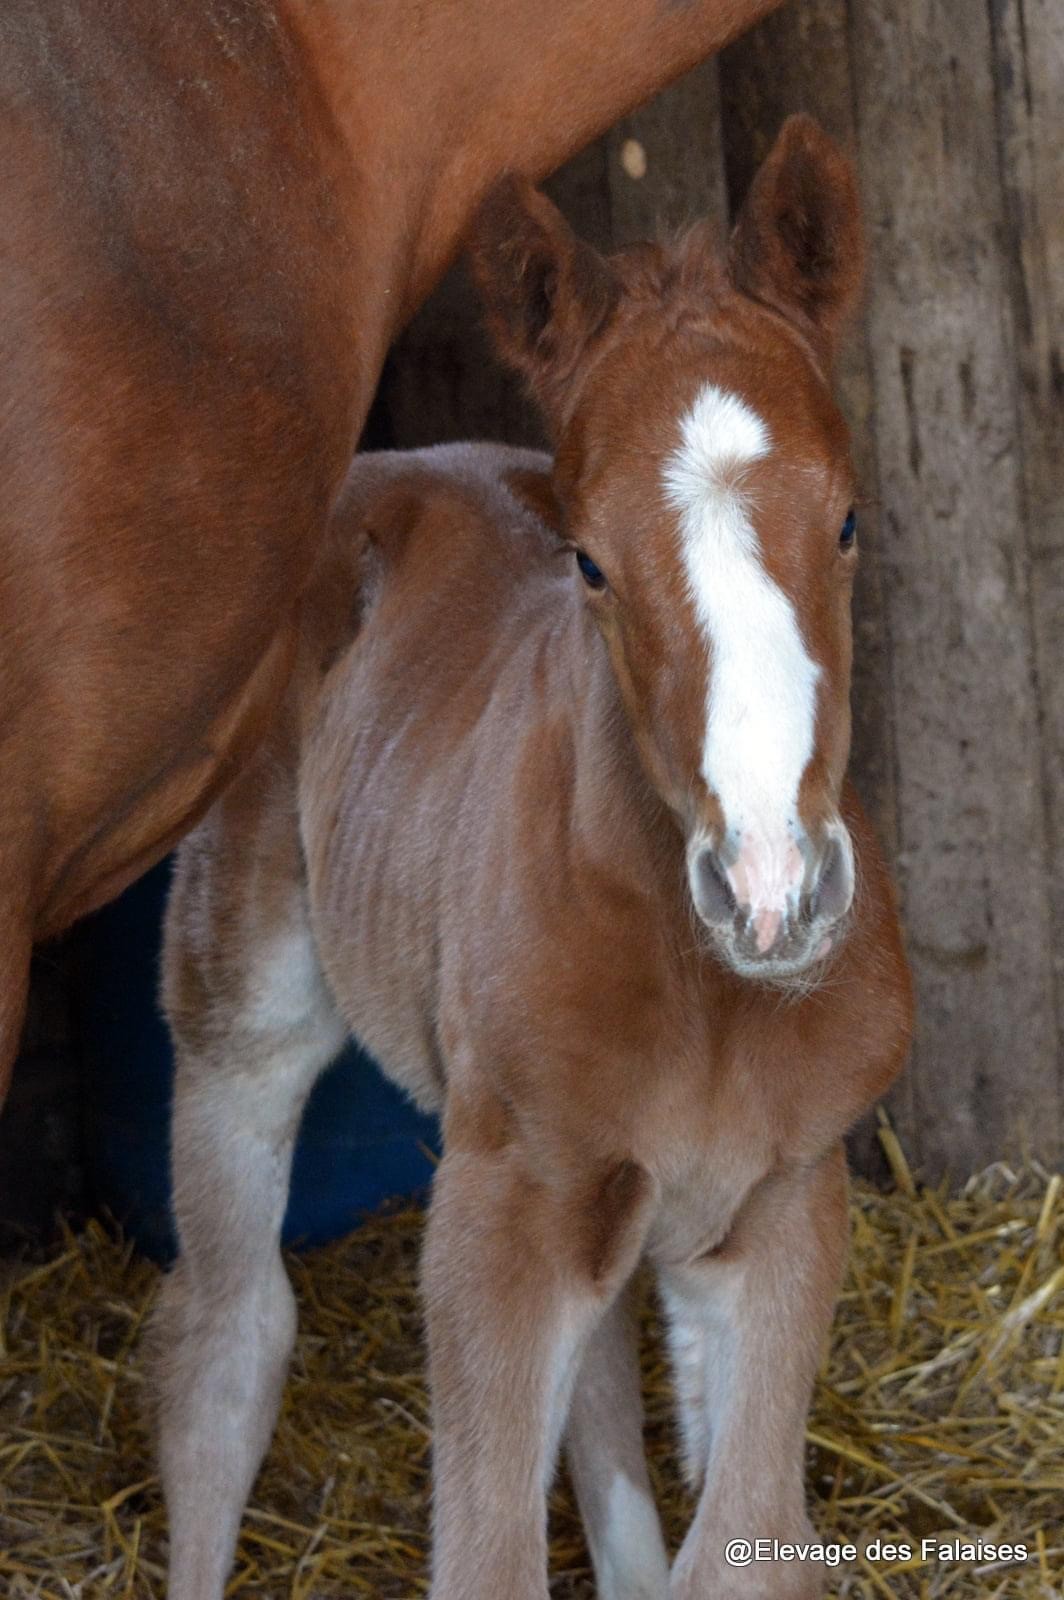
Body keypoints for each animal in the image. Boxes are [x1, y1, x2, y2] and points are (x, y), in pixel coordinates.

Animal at [153, 116, 908, 1600]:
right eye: (590, 562)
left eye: (848, 520)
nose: (773, 889)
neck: (712, 1001)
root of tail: (382, 465)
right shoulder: (491, 1220)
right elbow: (487, 1559)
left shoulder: (784, 1198)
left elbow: (744, 1544)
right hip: (241, 1012)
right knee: (225, 1344)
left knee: (601, 1388)